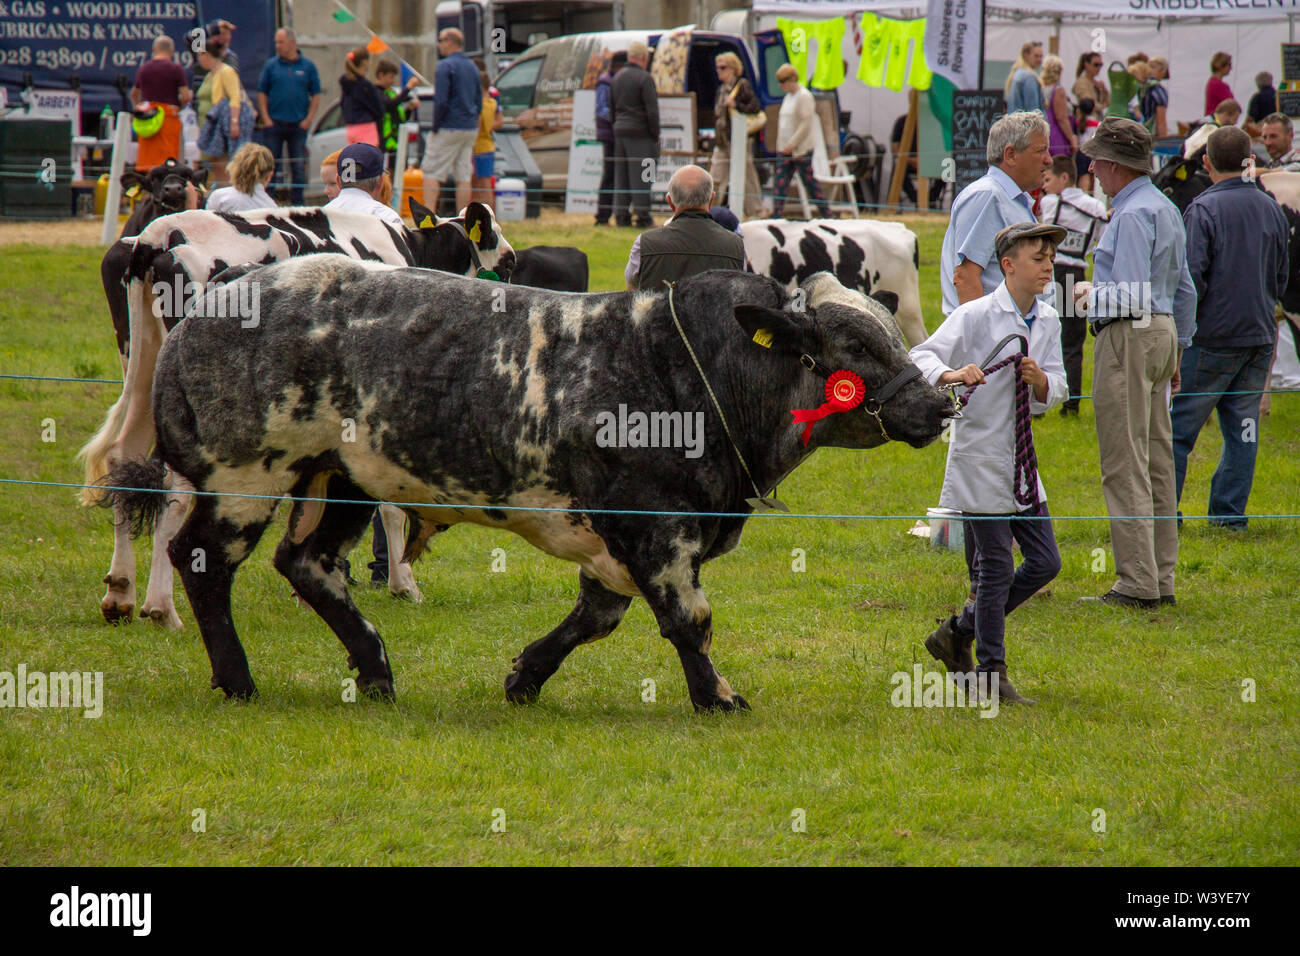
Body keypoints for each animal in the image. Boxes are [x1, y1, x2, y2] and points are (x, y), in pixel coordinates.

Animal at [79, 199, 517, 632]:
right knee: (174, 486)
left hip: (141, 367)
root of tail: (155, 236)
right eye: (510, 262)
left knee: (125, 459)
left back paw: (120, 592)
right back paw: (162, 607)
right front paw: (403, 585)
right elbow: (388, 502)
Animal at [106, 260, 956, 712]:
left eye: (890, 331)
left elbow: (597, 617)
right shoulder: (655, 524)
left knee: (310, 565)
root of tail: (221, 293)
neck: (692, 372)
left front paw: (525, 676)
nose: (939, 402)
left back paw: (376, 670)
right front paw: (718, 696)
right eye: (854, 346)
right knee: (202, 560)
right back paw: (238, 678)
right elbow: (690, 619)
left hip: (342, 478)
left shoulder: (621, 537)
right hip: (245, 478)